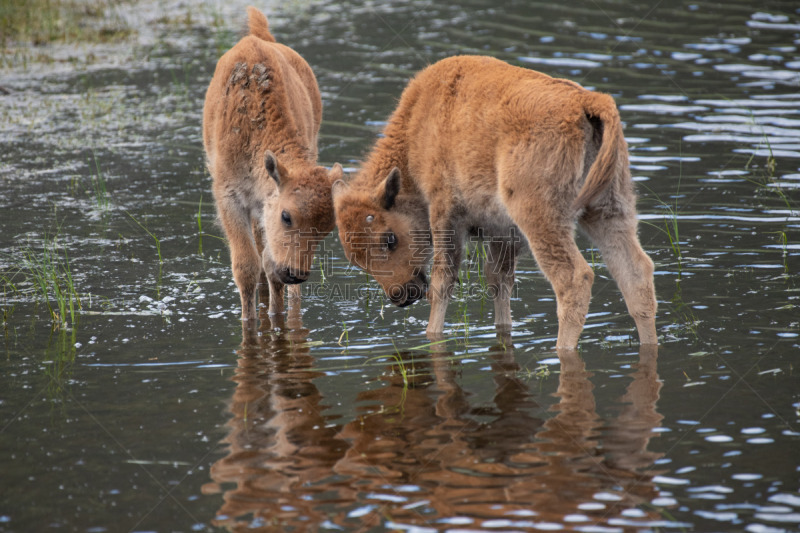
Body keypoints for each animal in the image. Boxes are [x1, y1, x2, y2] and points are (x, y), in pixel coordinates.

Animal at [203, 7, 340, 324]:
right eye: (287, 217)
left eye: (327, 228)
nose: (296, 273)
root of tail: (259, 37)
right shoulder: (229, 198)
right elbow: (246, 267)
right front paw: (249, 320)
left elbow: (269, 265)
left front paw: (278, 319)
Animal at [334, 55, 660, 350]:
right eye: (355, 258)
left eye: (389, 239)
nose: (401, 295)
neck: (417, 127)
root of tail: (587, 101)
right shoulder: (503, 233)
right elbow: (499, 281)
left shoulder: (445, 213)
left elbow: (443, 281)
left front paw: (431, 335)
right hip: (608, 209)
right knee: (636, 273)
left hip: (541, 217)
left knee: (573, 279)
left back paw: (561, 349)